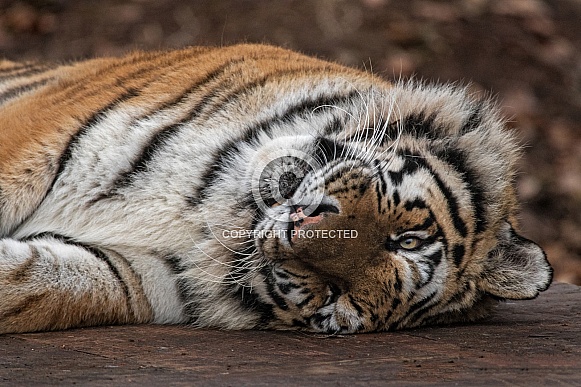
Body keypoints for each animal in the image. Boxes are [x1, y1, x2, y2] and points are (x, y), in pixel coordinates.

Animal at [0, 44, 552, 334]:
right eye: (407, 241)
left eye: (335, 297)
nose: (293, 234)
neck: (216, 218)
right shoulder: (36, 133)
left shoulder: (141, 273)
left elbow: (42, 282)